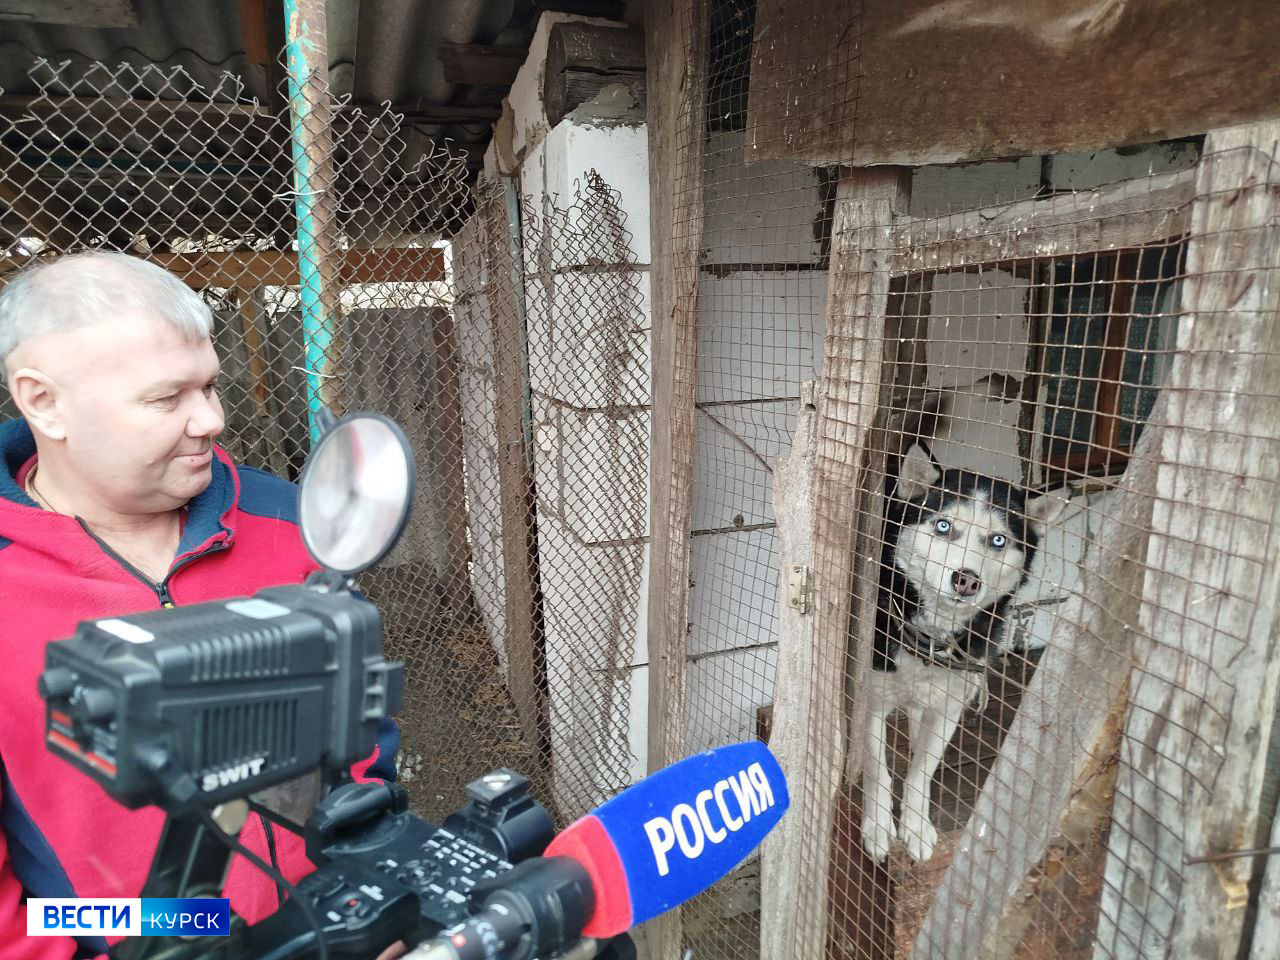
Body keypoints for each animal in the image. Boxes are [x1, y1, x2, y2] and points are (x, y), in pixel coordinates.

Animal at [865, 437, 1064, 865]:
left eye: (998, 540)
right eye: (943, 526)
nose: (966, 580)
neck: (934, 633)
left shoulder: (949, 706)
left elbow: (922, 768)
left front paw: (915, 827)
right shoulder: (870, 695)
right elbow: (876, 768)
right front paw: (877, 827)